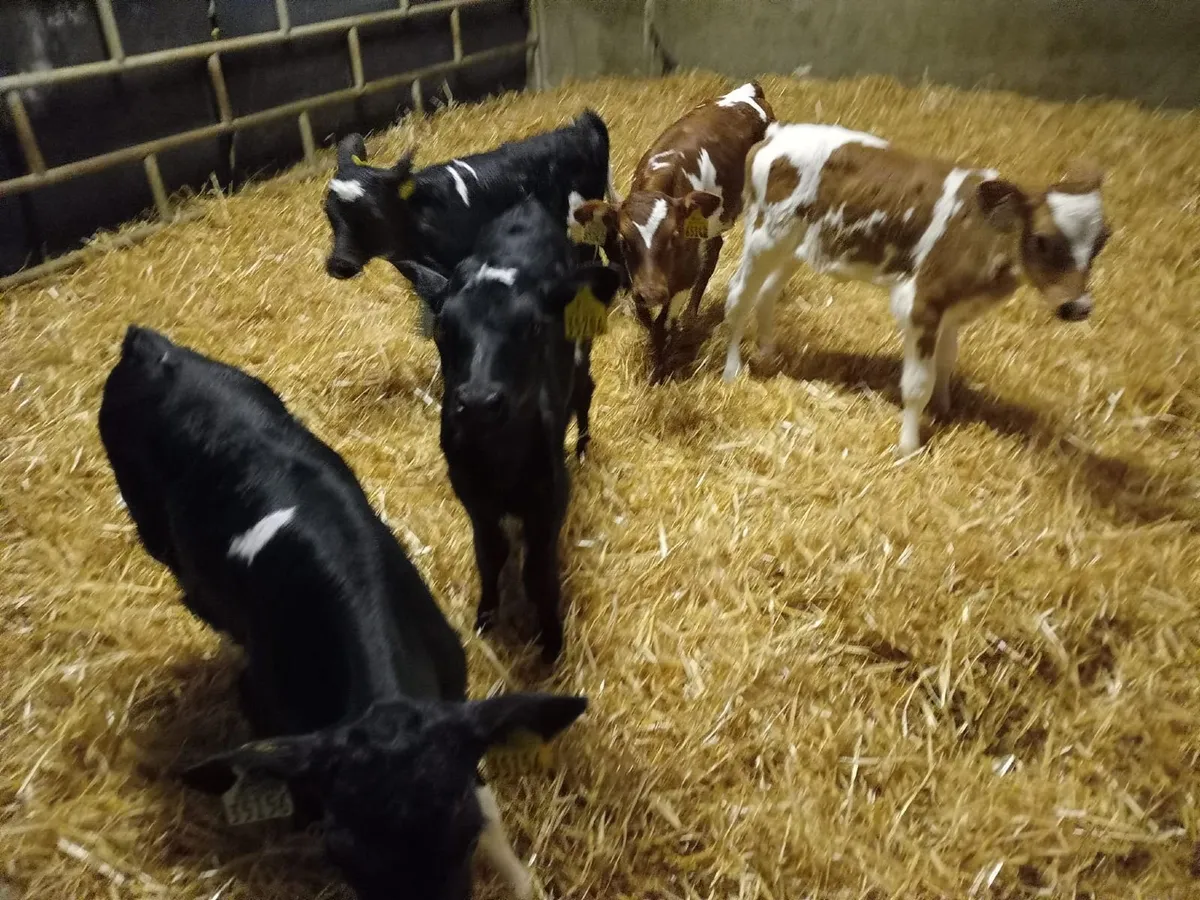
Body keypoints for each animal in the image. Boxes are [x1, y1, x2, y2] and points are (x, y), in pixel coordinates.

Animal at [395, 196, 622, 664]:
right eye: (443, 328)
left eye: (532, 326)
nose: (480, 402)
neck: (499, 463)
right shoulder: (470, 493)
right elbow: (490, 553)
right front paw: (486, 614)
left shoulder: (550, 494)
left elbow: (537, 568)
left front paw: (551, 639)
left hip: (581, 358)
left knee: (586, 394)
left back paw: (584, 448)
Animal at [568, 82, 775, 380]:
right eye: (624, 241)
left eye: (673, 238)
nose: (653, 293)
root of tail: (749, 91)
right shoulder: (634, 281)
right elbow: (647, 319)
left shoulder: (683, 278)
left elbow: (661, 323)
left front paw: (660, 370)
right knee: (714, 250)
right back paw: (690, 317)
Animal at [722, 123, 1110, 456]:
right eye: (1042, 240)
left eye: (1103, 240)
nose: (1077, 307)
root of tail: (778, 132)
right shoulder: (922, 302)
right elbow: (917, 383)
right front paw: (909, 446)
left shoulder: (952, 308)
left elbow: (947, 360)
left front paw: (943, 407)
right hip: (766, 236)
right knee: (739, 294)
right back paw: (732, 370)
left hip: (797, 246)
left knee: (766, 293)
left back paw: (768, 353)